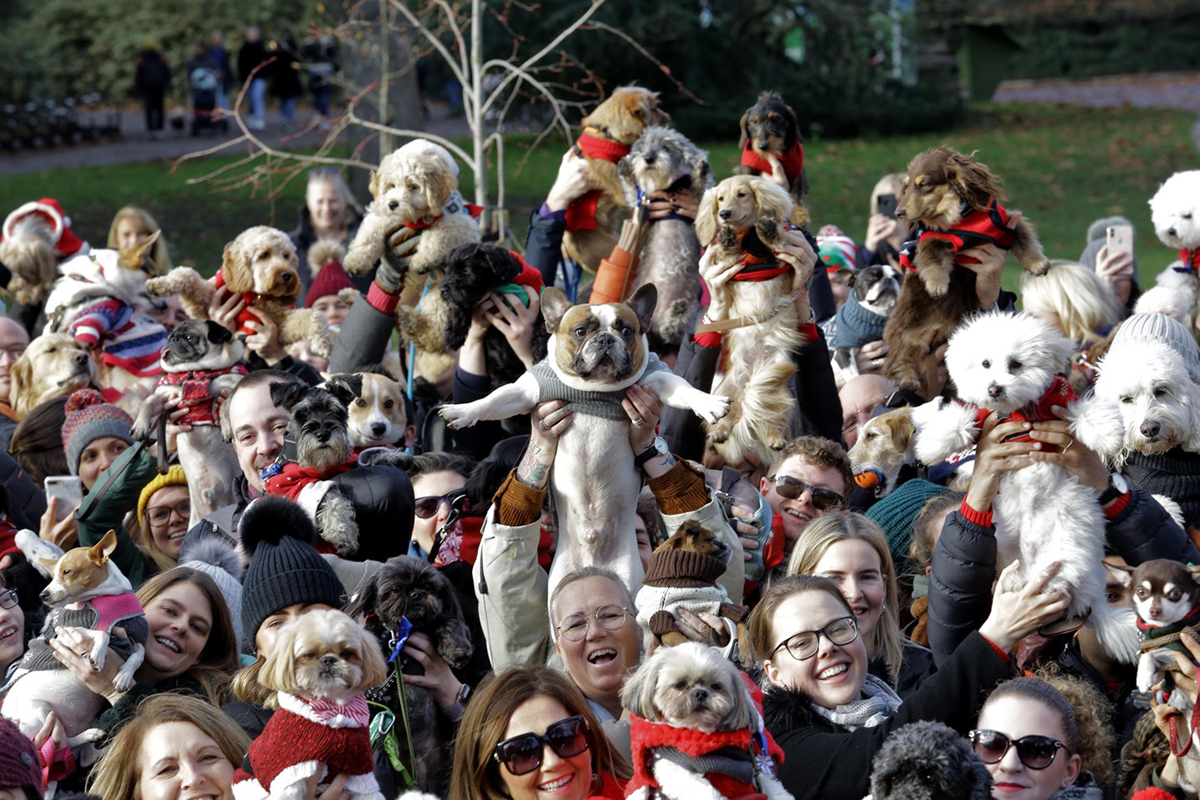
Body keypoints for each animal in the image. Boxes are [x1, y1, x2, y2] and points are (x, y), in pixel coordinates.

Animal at [231, 609, 386, 800]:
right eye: (309, 655)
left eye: (347, 653)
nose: (329, 659)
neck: (333, 706)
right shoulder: (292, 770)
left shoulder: (359, 769)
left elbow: (370, 793)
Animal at [916, 309, 1123, 642]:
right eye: (985, 364)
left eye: (1016, 364)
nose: (993, 388)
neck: (1019, 410)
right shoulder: (984, 416)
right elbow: (960, 417)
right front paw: (931, 445)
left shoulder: (1061, 403)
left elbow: (1088, 411)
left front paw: (1108, 436)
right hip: (1002, 546)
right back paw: (1013, 584)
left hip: (1067, 548)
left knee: (1063, 578)